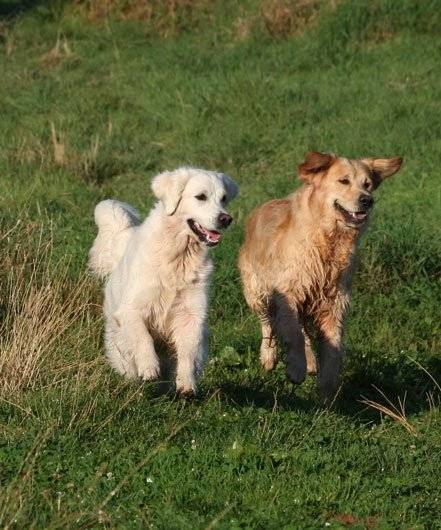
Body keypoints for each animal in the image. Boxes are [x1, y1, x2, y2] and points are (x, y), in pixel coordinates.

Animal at [89, 167, 237, 394]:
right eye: (201, 197)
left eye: (224, 199)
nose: (226, 219)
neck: (179, 255)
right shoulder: (131, 310)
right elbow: (144, 338)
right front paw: (149, 367)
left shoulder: (191, 314)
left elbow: (188, 352)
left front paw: (186, 383)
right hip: (119, 341)